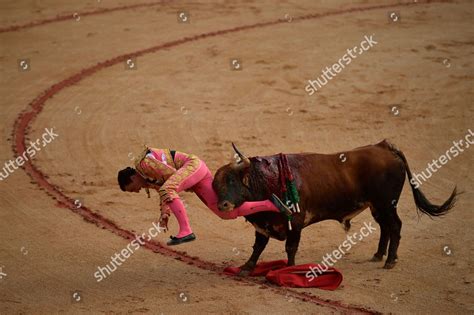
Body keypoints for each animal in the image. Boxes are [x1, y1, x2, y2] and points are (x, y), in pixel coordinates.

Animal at [213, 142, 458, 276]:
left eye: (232, 181)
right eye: (215, 186)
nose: (223, 205)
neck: (268, 181)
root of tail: (384, 147)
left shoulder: (296, 223)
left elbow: (290, 248)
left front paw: (288, 269)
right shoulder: (262, 224)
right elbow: (258, 247)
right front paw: (246, 267)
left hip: (387, 204)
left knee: (395, 226)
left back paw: (390, 261)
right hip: (376, 206)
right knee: (385, 227)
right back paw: (378, 255)